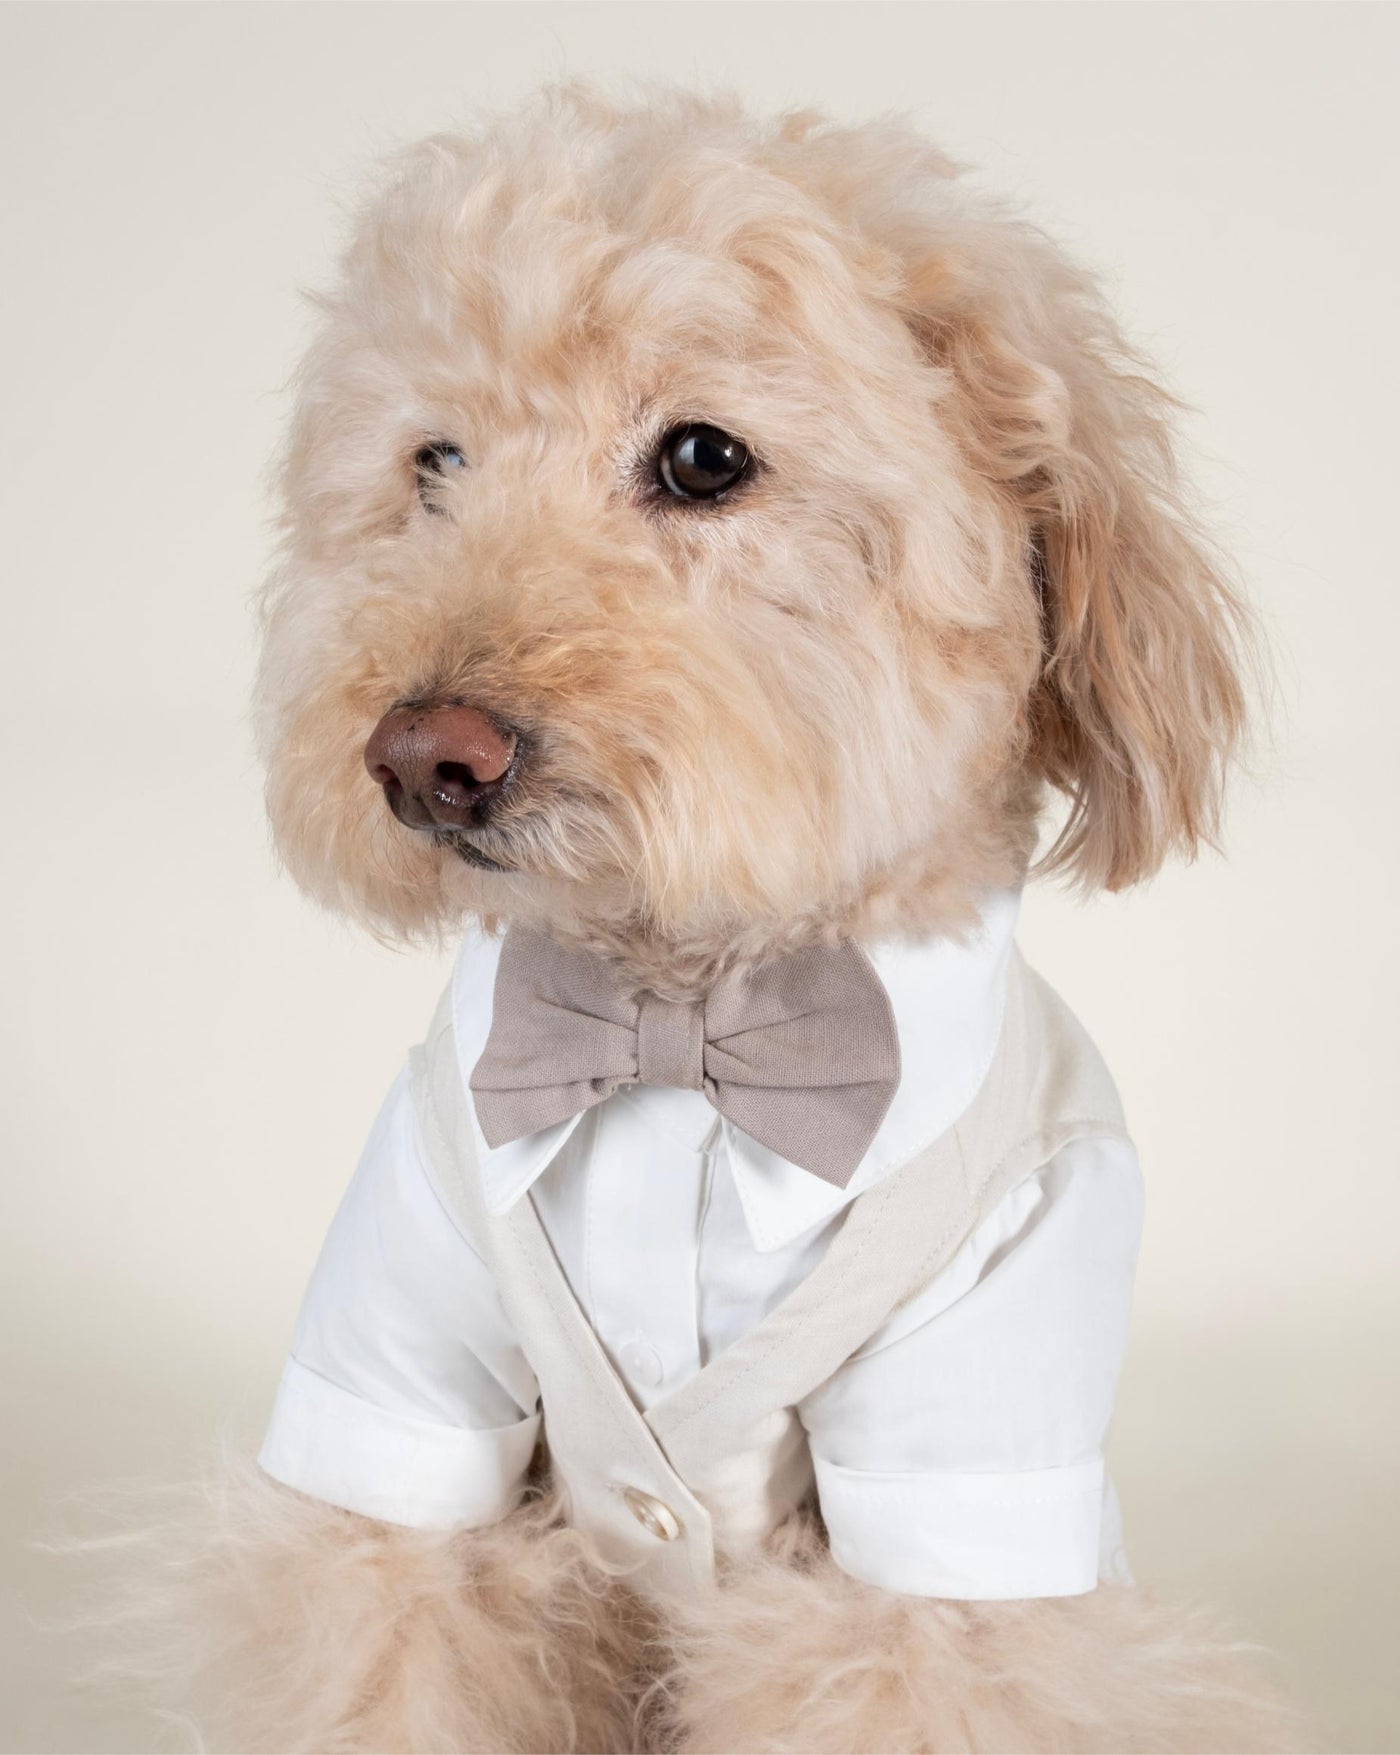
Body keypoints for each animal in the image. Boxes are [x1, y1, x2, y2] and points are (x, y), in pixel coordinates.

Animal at [134, 78, 1305, 1755]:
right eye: (434, 462)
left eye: (702, 458)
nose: (424, 754)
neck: (679, 1020)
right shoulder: (405, 1380)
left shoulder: (956, 1501)